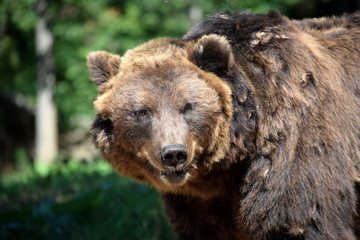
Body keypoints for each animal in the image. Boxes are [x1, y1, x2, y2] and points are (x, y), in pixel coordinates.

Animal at [87, 10, 360, 240]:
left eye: (188, 106)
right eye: (142, 111)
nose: (174, 154)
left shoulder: (295, 152)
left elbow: (300, 221)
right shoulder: (199, 205)